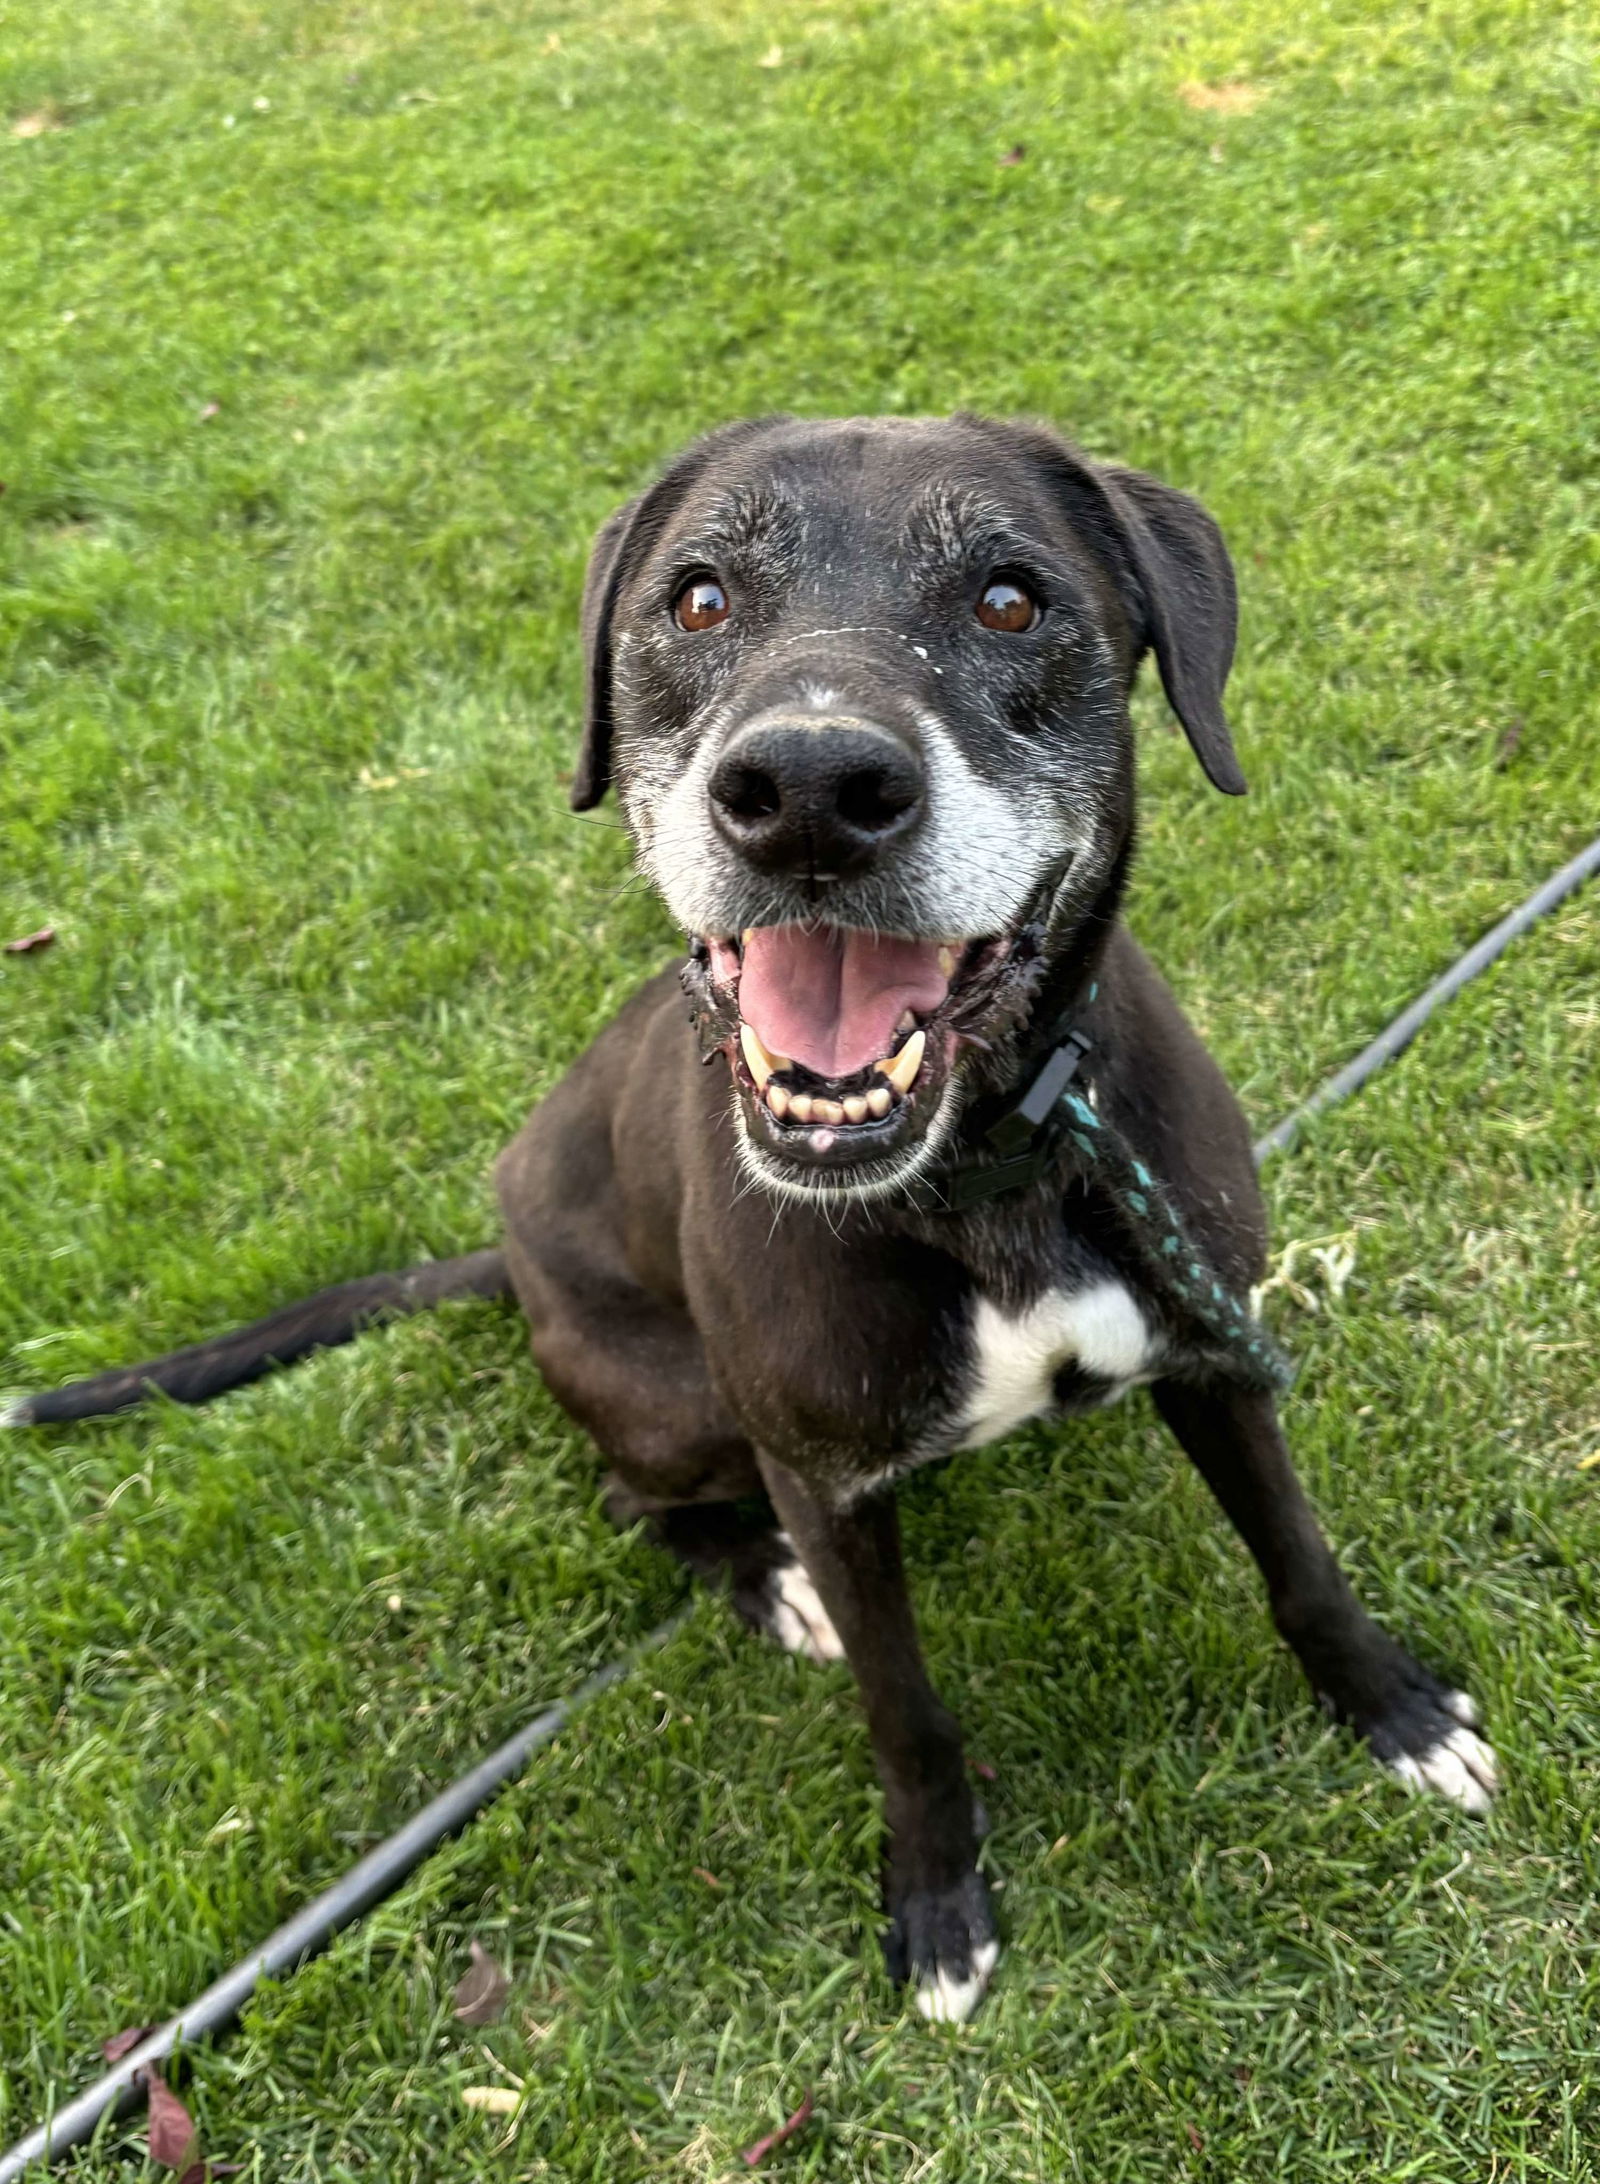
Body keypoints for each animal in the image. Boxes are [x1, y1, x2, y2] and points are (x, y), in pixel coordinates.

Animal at [12, 417, 1493, 2018]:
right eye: (701, 599)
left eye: (1011, 600)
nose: (808, 791)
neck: (982, 1168)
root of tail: (505, 1258)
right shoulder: (825, 1483)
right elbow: (905, 1714)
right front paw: (937, 1899)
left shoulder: (1216, 1350)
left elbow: (1298, 1555)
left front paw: (1398, 1710)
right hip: (677, 1407)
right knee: (631, 1498)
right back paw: (762, 1582)